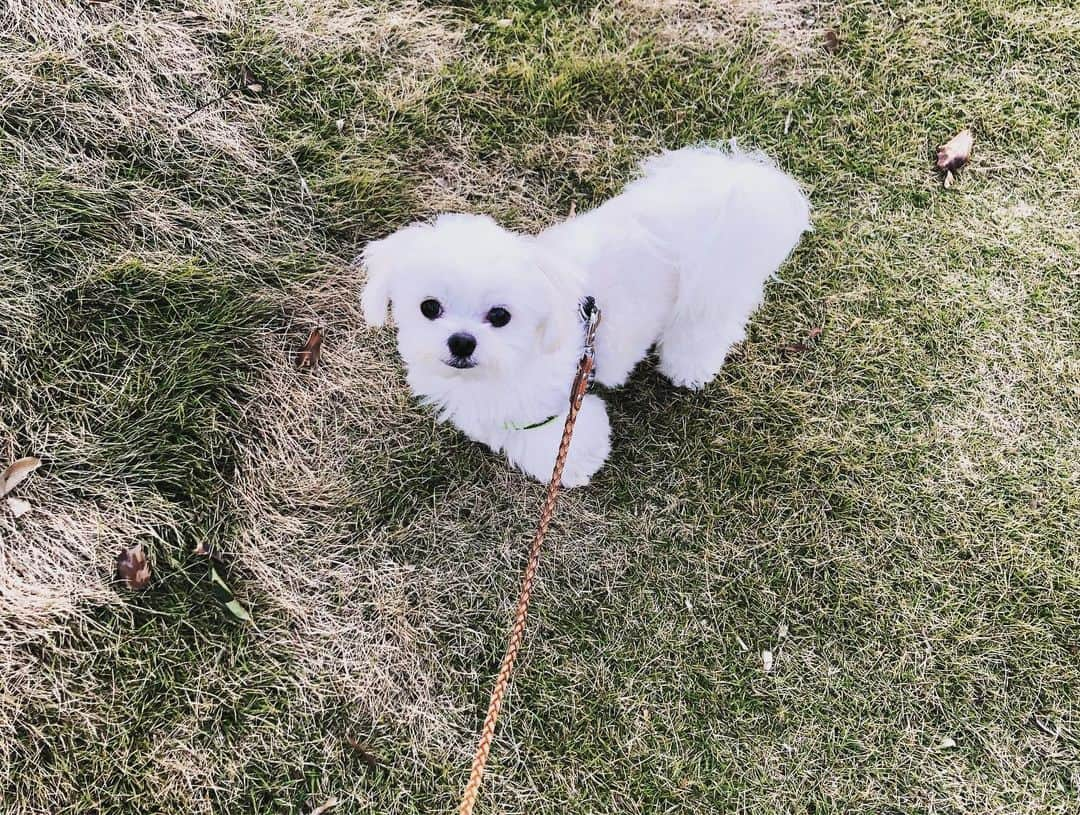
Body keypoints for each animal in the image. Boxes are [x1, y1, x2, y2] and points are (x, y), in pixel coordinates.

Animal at [362, 146, 812, 487]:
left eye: (500, 315)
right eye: (429, 308)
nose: (461, 341)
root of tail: (727, 183)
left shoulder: (557, 406)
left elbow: (562, 443)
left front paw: (573, 467)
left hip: (711, 287)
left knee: (704, 329)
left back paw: (689, 369)